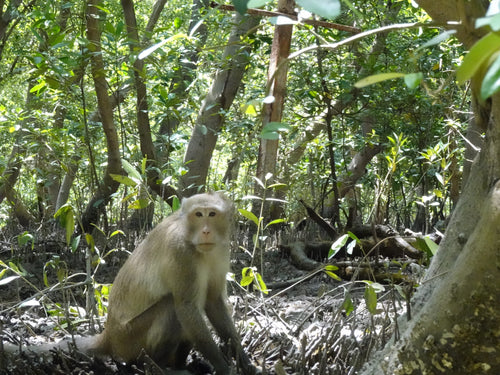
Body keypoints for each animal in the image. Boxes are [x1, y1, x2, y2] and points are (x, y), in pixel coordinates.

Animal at [4, 194, 258, 375]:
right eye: (198, 214)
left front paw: (243, 360)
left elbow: (213, 302)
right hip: (130, 340)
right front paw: (224, 367)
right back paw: (159, 366)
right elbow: (186, 306)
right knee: (172, 306)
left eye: (212, 214)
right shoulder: (182, 253)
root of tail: (109, 335)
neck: (194, 242)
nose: (205, 231)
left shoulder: (221, 250)